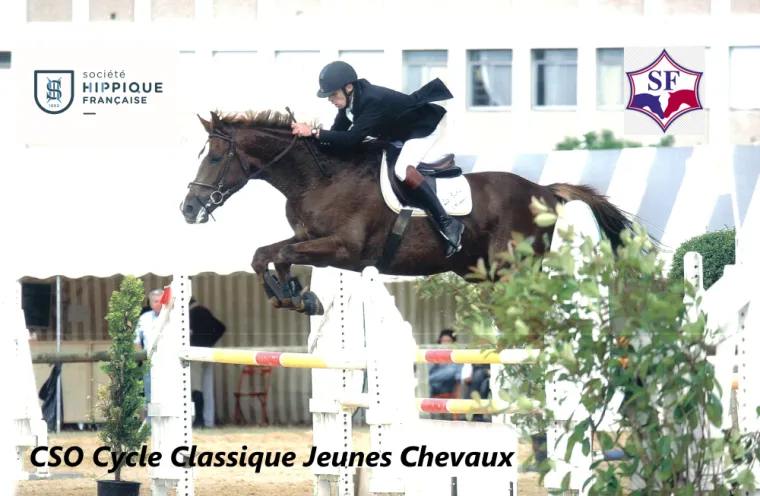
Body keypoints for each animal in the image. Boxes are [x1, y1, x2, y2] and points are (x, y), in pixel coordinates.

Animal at [180, 109, 650, 316]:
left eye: (216, 157)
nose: (187, 208)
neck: (318, 178)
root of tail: (544, 191)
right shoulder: (309, 238)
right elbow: (266, 253)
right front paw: (293, 296)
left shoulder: (344, 249)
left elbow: (279, 253)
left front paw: (295, 295)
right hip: (483, 272)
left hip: (512, 269)